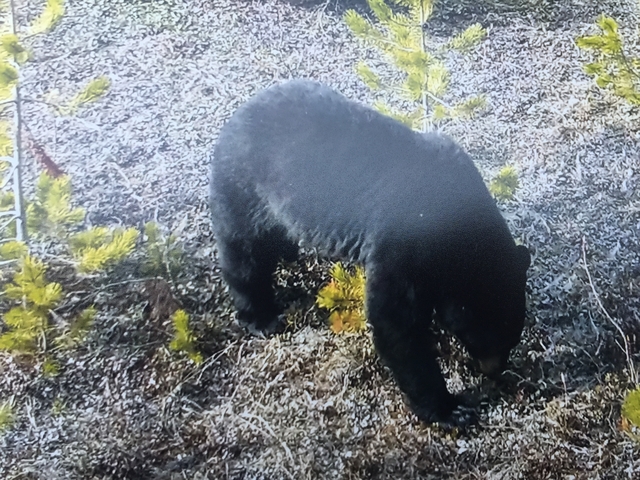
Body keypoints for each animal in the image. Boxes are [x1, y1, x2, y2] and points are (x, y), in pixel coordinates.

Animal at [209, 79, 531, 426]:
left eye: (512, 335)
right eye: (489, 337)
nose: (496, 371)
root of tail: (238, 114)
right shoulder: (402, 243)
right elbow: (395, 322)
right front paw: (449, 408)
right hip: (243, 184)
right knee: (243, 252)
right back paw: (260, 316)